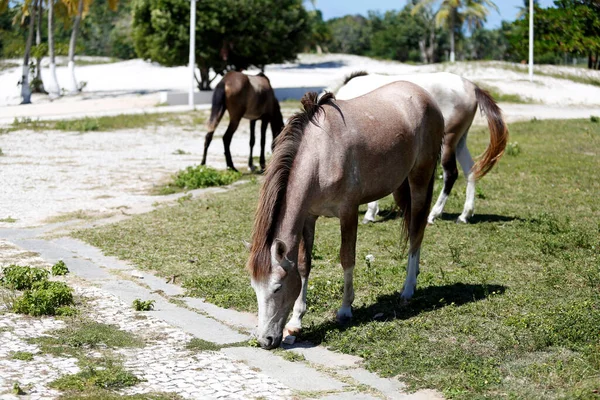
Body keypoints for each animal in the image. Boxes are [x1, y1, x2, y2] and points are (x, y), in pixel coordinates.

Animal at [245, 83, 446, 348]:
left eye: (277, 288)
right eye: (254, 287)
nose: (265, 340)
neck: (321, 155)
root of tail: (424, 95)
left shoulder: (348, 212)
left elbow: (347, 258)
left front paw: (345, 310)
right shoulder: (309, 217)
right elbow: (304, 265)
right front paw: (296, 322)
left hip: (420, 178)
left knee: (416, 231)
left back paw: (408, 289)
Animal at [336, 70, 508, 223]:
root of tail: (471, 86)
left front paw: (370, 213)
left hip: (447, 141)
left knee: (451, 173)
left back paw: (433, 215)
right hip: (460, 142)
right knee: (471, 171)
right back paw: (464, 216)